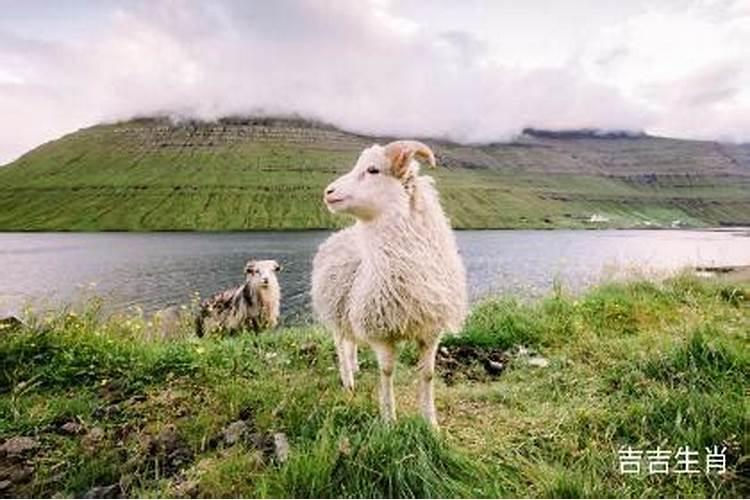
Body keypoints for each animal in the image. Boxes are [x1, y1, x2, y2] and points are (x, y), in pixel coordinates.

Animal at [310, 140, 464, 426]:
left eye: (373, 170)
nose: (328, 192)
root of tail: (339, 234)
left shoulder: (431, 330)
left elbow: (427, 375)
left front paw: (431, 422)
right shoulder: (380, 331)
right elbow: (387, 372)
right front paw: (389, 420)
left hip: (349, 310)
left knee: (350, 344)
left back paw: (355, 368)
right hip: (336, 311)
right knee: (340, 346)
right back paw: (348, 380)